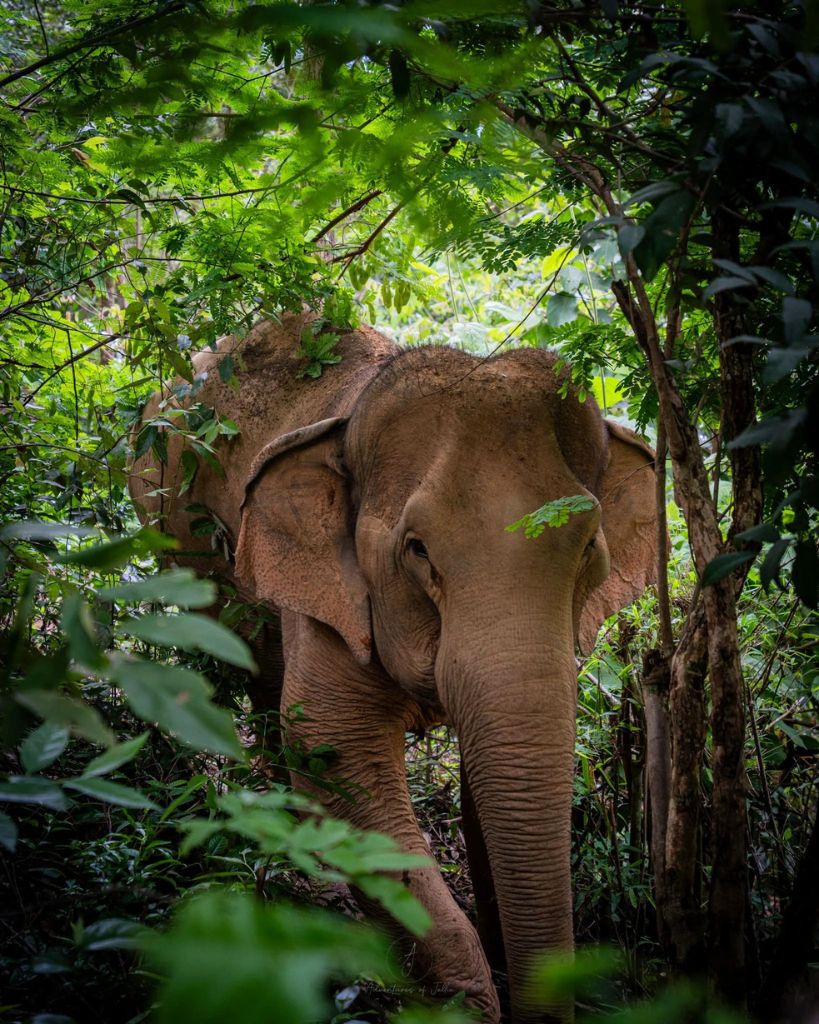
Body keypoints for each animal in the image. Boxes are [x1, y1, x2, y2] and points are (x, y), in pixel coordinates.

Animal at [129, 312, 658, 1023]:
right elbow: (331, 743)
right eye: (417, 550)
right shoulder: (337, 599)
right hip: (170, 517)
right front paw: (464, 1004)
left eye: (589, 551)